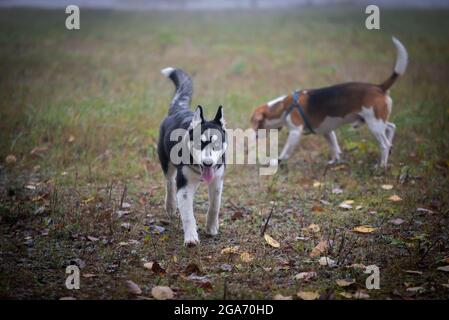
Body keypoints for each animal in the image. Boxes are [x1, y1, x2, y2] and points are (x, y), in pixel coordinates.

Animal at [158, 67, 228, 248]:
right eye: (199, 143)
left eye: (216, 144)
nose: (207, 163)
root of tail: (179, 110)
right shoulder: (184, 186)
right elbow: (188, 214)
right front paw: (190, 237)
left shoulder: (217, 180)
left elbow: (214, 206)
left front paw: (211, 227)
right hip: (166, 163)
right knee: (170, 182)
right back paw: (170, 205)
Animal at [250, 36, 408, 169]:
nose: (253, 136)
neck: (283, 107)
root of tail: (379, 87)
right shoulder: (327, 130)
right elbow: (334, 147)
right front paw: (335, 161)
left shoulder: (295, 133)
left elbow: (285, 152)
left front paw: (276, 161)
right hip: (376, 120)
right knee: (391, 127)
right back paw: (389, 150)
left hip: (374, 124)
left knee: (384, 144)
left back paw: (381, 165)